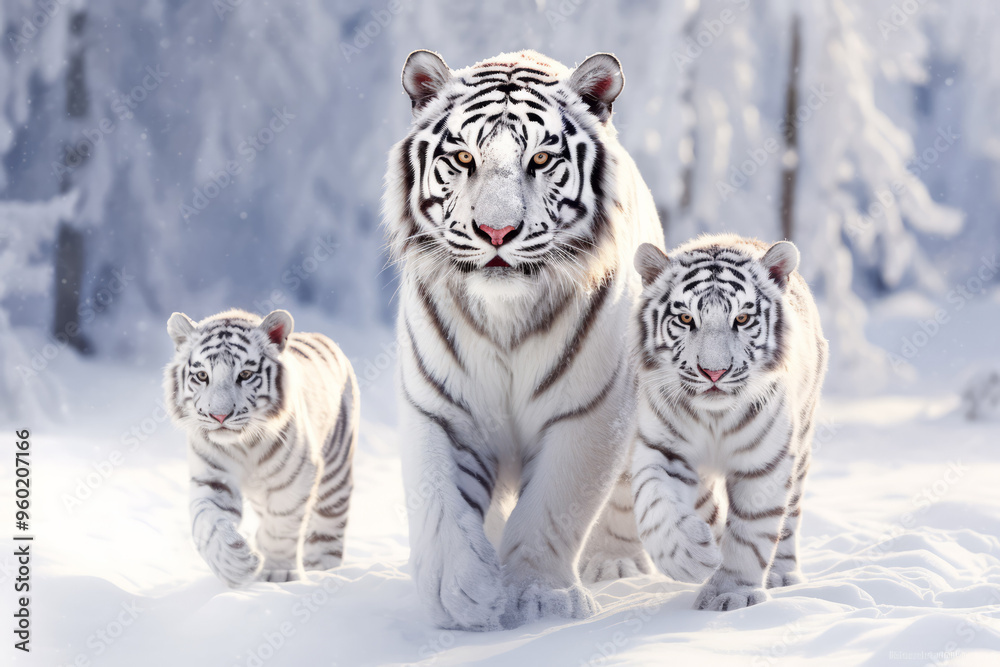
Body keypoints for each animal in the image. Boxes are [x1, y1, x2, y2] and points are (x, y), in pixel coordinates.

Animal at [163, 308, 358, 587]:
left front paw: (278, 574)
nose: (219, 416)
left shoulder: (296, 478)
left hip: (335, 477)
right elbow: (208, 520)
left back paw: (323, 572)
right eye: (202, 376)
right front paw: (233, 563)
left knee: (327, 533)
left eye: (245, 375)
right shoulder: (213, 479)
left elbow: (282, 526)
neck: (243, 445)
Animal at [383, 49, 664, 630]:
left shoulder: (590, 411)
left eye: (540, 159)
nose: (496, 232)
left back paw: (614, 563)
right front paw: (464, 594)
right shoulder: (441, 407)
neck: (506, 317)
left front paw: (539, 597)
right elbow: (441, 498)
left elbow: (554, 506)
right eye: (463, 157)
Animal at [629, 234, 828, 611]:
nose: (714, 372)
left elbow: (751, 532)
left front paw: (730, 594)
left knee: (789, 518)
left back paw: (782, 574)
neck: (714, 418)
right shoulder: (663, 450)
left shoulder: (764, 462)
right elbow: (655, 504)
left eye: (743, 317)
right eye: (686, 317)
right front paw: (689, 557)